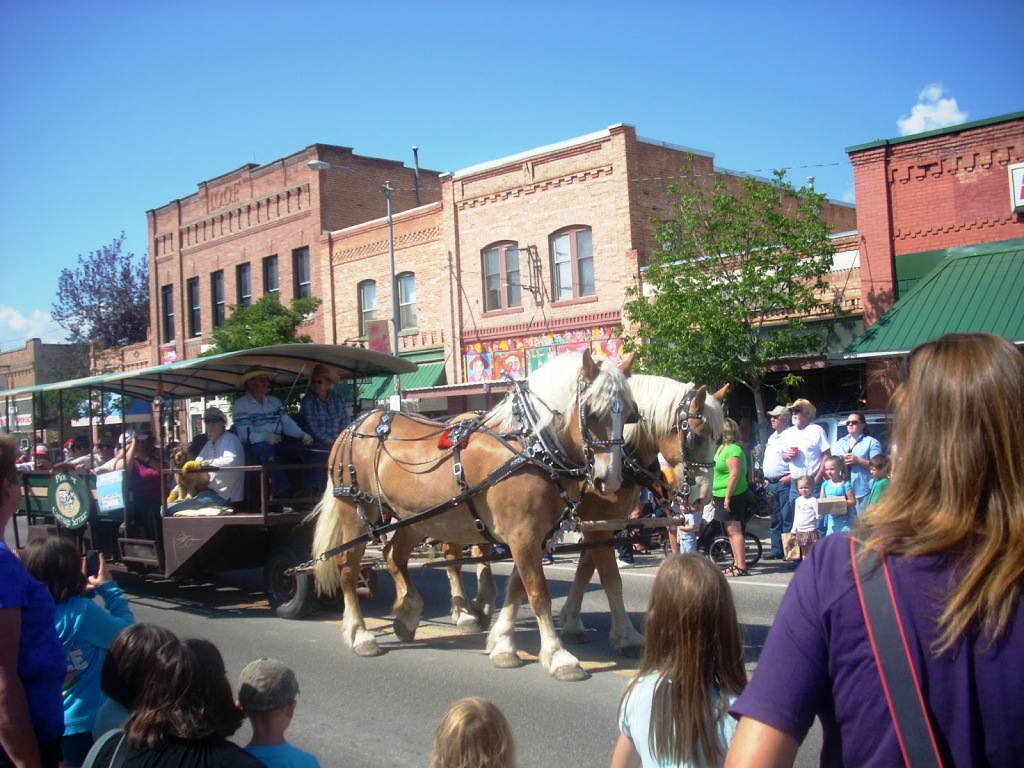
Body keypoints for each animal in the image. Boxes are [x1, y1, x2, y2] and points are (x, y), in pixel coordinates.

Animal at [307, 352, 634, 684]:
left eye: (629, 414)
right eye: (592, 412)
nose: (611, 481)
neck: (532, 447)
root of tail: (353, 426)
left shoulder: (535, 537)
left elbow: (517, 589)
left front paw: (502, 644)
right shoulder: (523, 536)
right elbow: (537, 593)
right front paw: (558, 656)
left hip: (416, 518)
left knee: (393, 555)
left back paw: (408, 614)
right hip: (357, 511)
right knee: (348, 567)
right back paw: (360, 634)